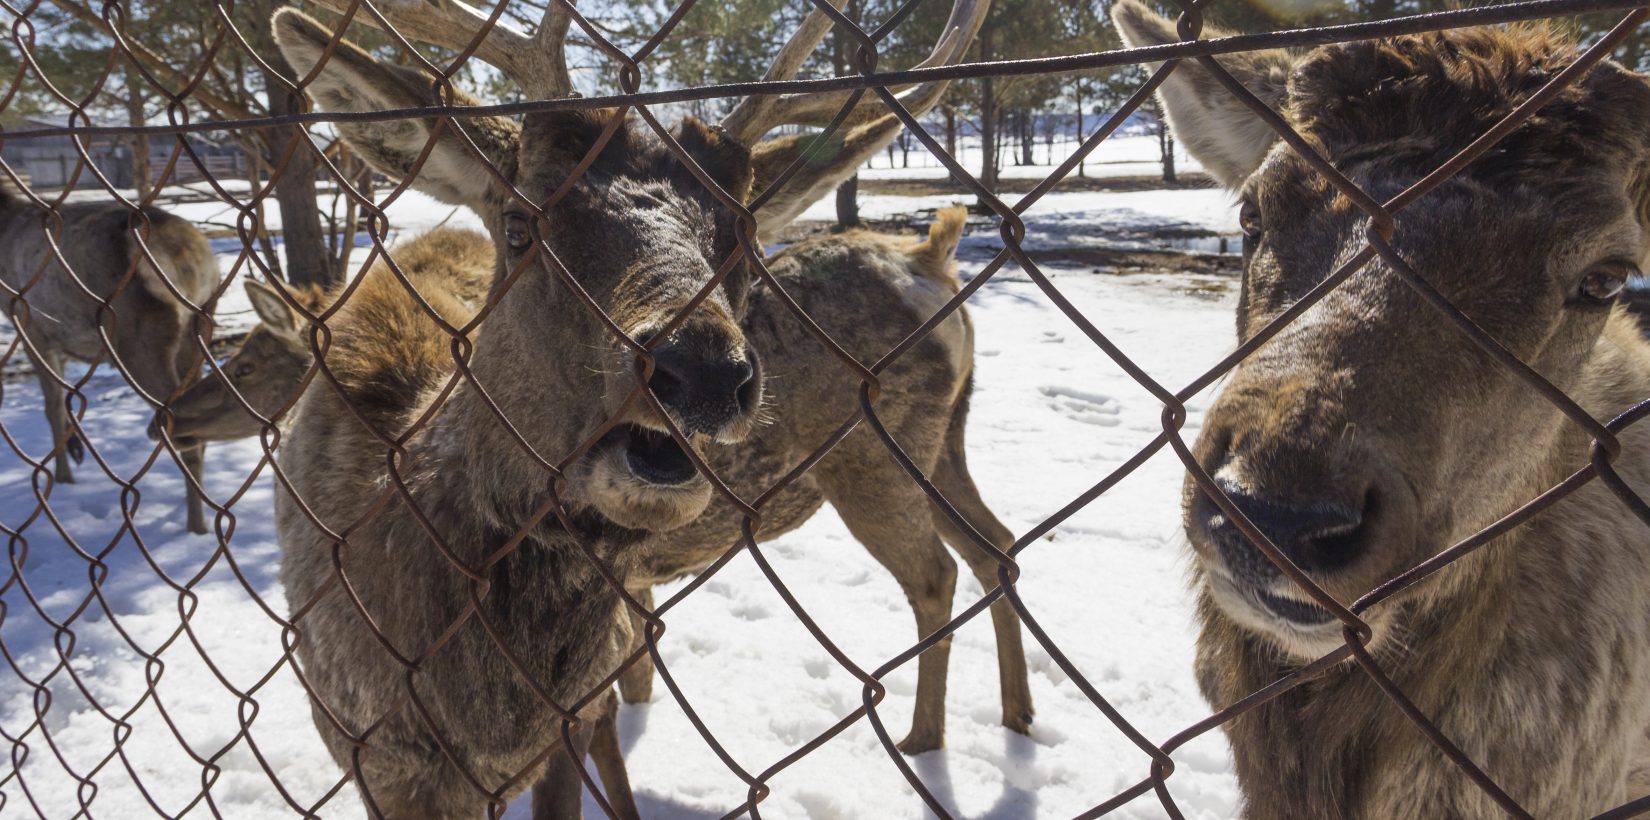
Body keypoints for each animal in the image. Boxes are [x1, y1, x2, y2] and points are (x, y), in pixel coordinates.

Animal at [0, 179, 219, 534]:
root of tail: (195, 260)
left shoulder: (31, 327)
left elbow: (52, 407)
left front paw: (63, 477)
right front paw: (75, 451)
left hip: (139, 337)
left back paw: (196, 526)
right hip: (198, 331)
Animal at [267, 1, 1029, 811]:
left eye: (742, 238)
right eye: (519, 224)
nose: (703, 371)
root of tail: (933, 260)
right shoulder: (368, 745)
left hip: (877, 454)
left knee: (936, 573)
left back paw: (924, 738)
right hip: (940, 444)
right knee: (995, 548)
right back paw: (1012, 714)